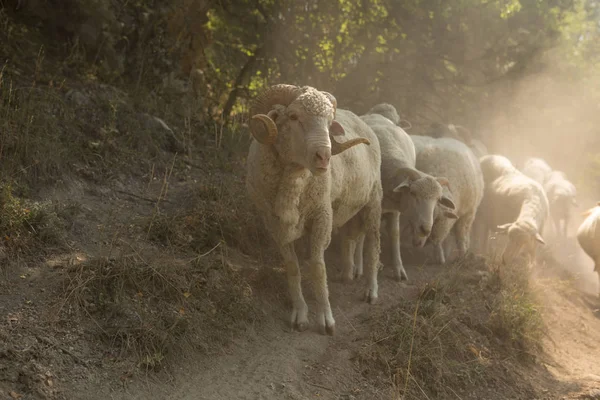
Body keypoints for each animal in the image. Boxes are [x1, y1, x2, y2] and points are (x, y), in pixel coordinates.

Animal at [246, 83, 382, 334]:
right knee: (351, 238)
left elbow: (318, 268)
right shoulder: (274, 224)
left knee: (373, 245)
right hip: (347, 208)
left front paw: (326, 319)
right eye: (293, 116)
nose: (324, 157)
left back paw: (371, 290)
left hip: (374, 200)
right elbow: (292, 268)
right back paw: (349, 273)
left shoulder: (321, 216)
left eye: (329, 122)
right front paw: (299, 314)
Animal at [356, 106, 454, 282]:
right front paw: (359, 267)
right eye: (413, 194)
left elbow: (395, 235)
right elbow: (362, 235)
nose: (425, 229)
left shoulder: (394, 209)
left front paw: (399, 270)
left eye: (437, 200)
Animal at [410, 136, 486, 264]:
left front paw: (462, 255)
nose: (417, 243)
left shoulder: (468, 213)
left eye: (435, 219)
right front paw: (440, 256)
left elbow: (460, 236)